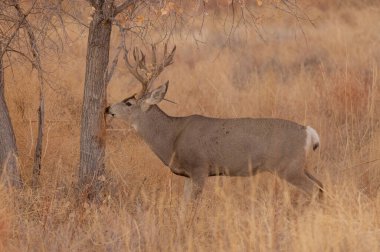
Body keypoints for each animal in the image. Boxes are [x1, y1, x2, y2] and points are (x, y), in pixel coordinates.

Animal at [104, 43, 324, 201]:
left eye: (128, 102)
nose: (108, 108)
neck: (171, 137)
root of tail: (309, 132)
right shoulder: (188, 175)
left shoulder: (199, 167)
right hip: (300, 165)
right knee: (321, 186)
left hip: (289, 167)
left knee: (314, 190)